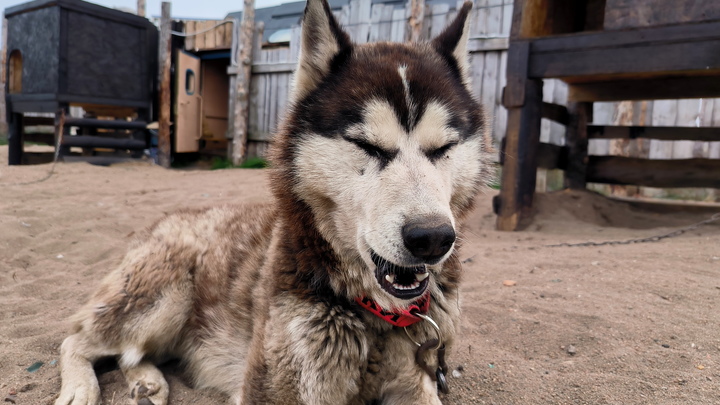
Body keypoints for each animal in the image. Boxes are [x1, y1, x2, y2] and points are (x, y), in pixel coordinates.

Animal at [54, 0, 490, 402]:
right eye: (366, 145)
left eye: (444, 148)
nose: (432, 237)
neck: (374, 311)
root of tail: (169, 219)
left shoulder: (417, 376)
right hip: (161, 303)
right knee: (76, 337)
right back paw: (82, 387)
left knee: (129, 354)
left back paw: (147, 381)